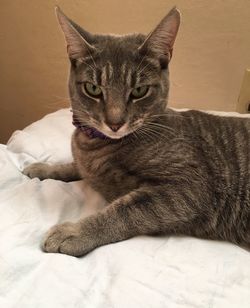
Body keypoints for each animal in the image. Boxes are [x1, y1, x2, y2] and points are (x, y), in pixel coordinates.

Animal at [23, 7, 250, 258]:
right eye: (93, 89)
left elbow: (124, 211)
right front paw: (43, 168)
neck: (94, 145)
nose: (114, 123)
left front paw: (74, 231)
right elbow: (73, 166)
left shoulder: (189, 187)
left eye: (139, 91)